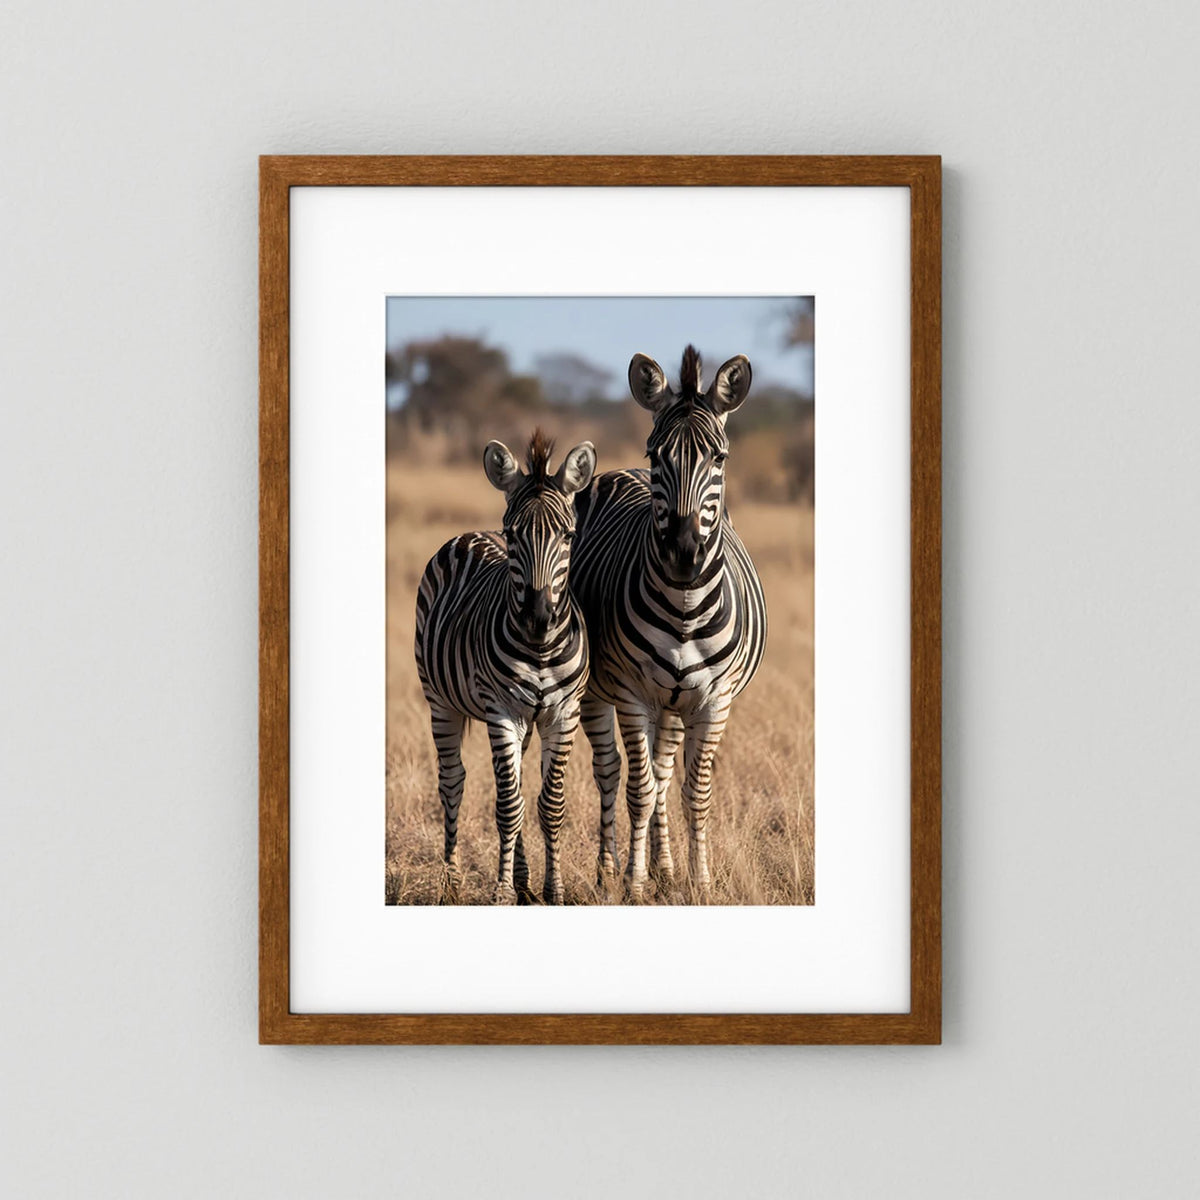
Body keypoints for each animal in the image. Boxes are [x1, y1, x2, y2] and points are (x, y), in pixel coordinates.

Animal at [414, 430, 596, 905]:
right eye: (514, 535)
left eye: (569, 535)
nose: (538, 616)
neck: (541, 649)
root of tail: (471, 534)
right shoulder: (502, 711)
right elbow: (509, 806)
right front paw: (499, 892)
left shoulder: (563, 713)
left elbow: (549, 804)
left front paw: (553, 889)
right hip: (439, 700)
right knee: (453, 782)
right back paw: (452, 881)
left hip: (527, 722)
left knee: (513, 780)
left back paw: (523, 879)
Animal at [570, 346, 767, 901]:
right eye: (656, 455)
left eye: (719, 459)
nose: (683, 552)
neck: (684, 606)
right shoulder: (631, 692)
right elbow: (638, 788)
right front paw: (633, 885)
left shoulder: (714, 701)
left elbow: (693, 791)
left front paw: (698, 881)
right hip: (600, 692)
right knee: (612, 771)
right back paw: (610, 871)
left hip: (675, 703)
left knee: (660, 771)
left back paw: (667, 868)